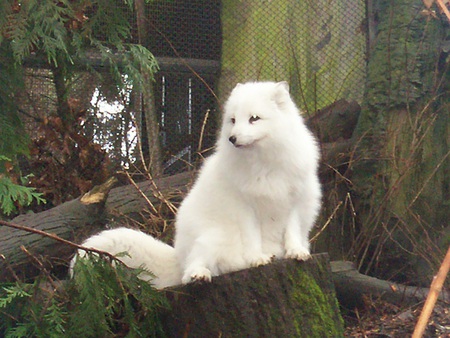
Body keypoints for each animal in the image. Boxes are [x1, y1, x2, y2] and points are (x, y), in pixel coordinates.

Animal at [70, 81, 322, 288]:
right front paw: (256, 258)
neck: (264, 165)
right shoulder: (244, 208)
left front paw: (296, 252)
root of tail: (178, 255)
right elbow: (252, 239)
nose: (232, 138)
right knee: (189, 272)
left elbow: (292, 232)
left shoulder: (295, 202)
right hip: (210, 238)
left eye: (254, 118)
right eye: (233, 120)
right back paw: (200, 273)